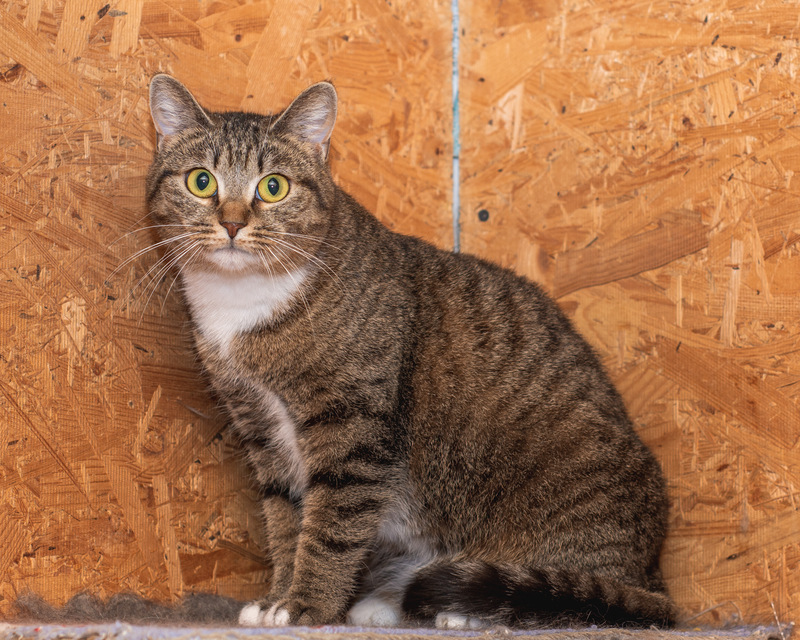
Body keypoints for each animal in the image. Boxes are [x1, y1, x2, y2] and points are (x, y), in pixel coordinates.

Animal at [145, 75, 676, 632]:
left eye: (273, 187)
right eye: (201, 181)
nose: (231, 224)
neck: (244, 303)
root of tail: (652, 574)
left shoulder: (352, 425)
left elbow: (331, 525)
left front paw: (308, 605)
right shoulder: (261, 428)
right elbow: (287, 520)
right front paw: (277, 596)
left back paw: (471, 611)